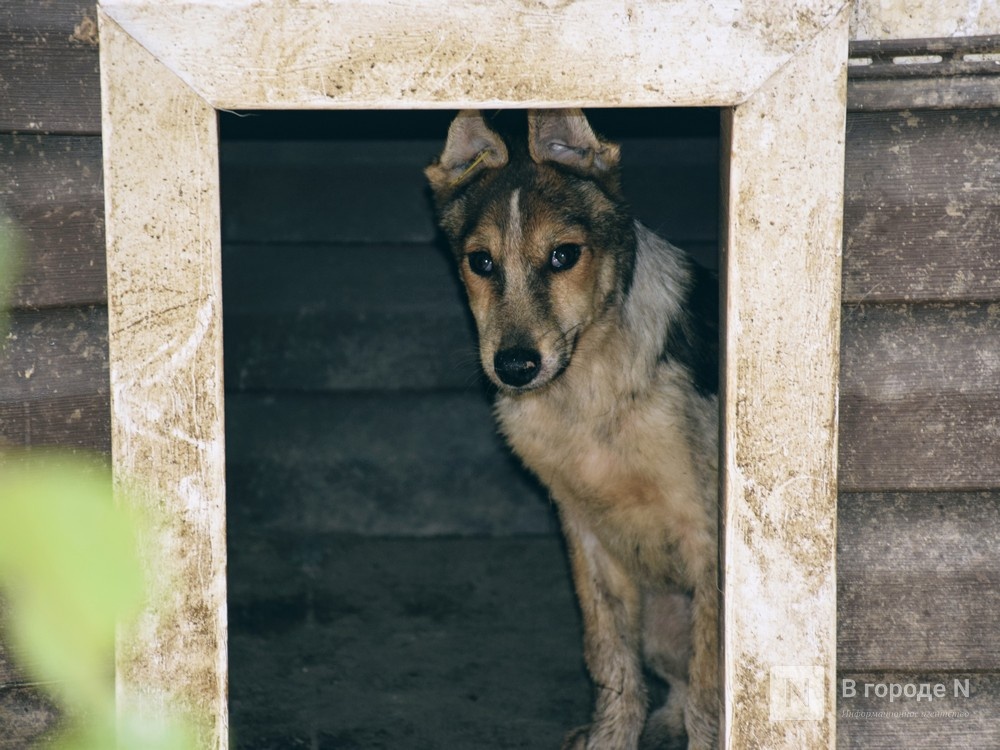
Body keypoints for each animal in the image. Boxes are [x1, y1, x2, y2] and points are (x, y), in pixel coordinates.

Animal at [424, 108, 720, 748]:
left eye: (563, 256)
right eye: (481, 263)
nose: (514, 366)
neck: (583, 389)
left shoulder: (708, 538)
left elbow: (712, 690)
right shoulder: (583, 529)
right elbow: (609, 659)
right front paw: (611, 738)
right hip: (658, 620)